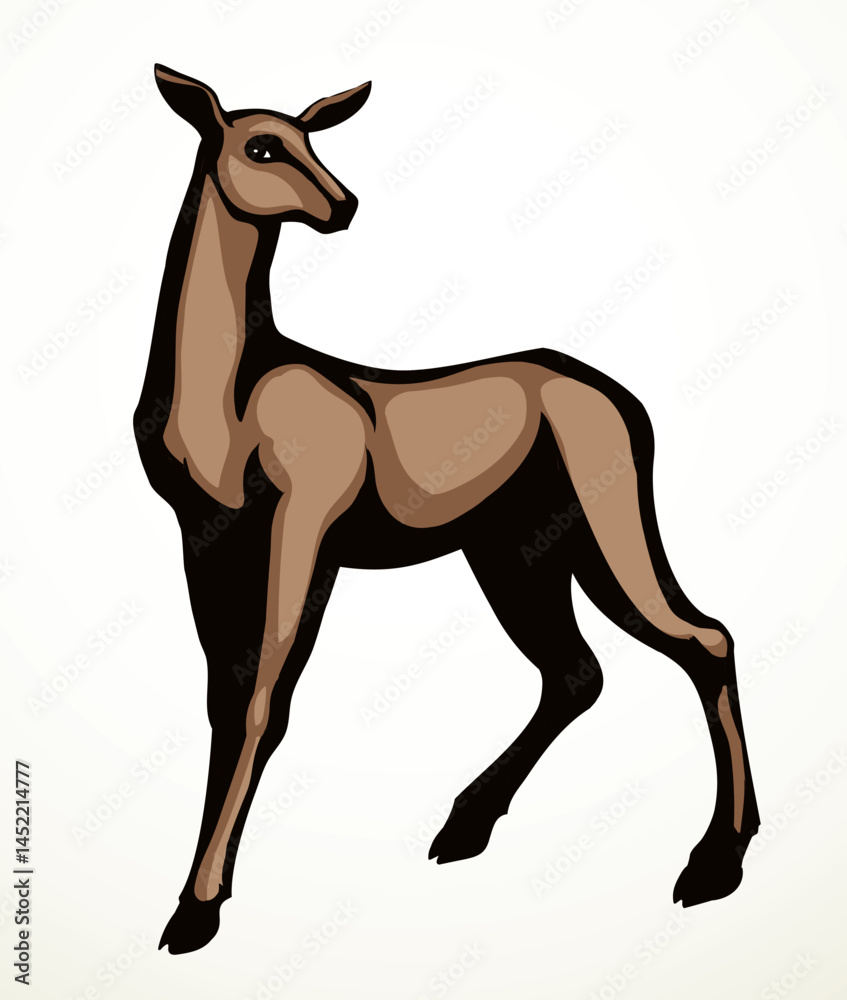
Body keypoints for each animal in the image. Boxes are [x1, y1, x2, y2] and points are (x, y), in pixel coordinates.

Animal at [135, 65, 760, 954]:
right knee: (577, 670)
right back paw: (462, 827)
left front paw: (197, 910)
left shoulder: (306, 524)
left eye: (312, 140)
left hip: (606, 524)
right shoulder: (201, 538)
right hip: (517, 551)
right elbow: (226, 696)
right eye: (261, 145)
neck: (226, 401)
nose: (342, 203)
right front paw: (191, 901)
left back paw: (711, 867)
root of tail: (620, 399)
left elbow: (263, 703)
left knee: (702, 638)